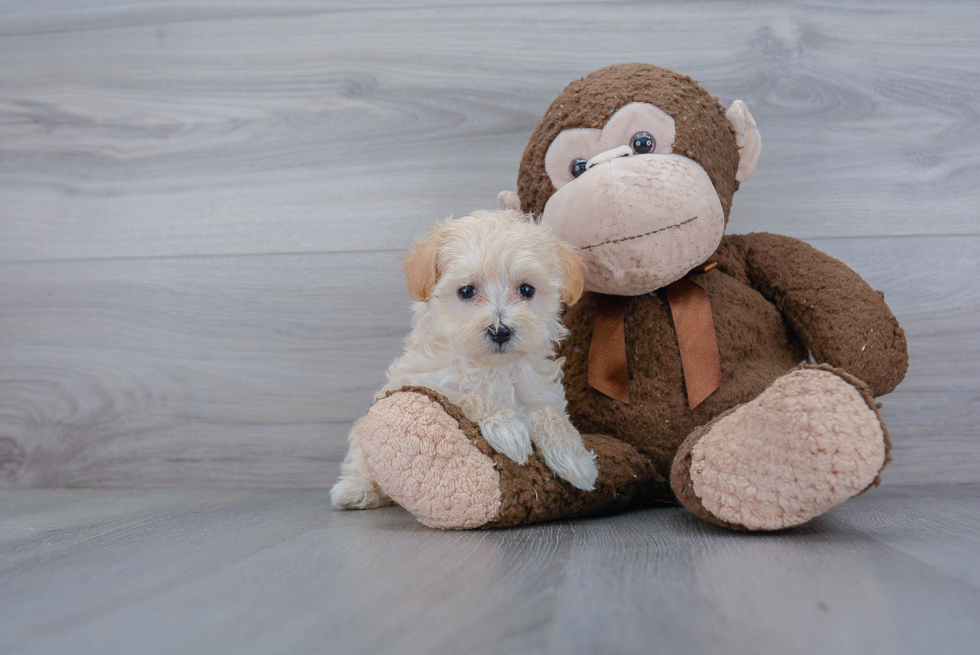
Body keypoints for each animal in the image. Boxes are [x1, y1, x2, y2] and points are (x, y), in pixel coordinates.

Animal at [334, 208, 596, 510]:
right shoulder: (425, 380)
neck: (492, 367)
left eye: (527, 290)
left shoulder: (540, 395)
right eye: (467, 291)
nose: (500, 331)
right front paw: (507, 429)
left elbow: (551, 416)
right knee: (361, 463)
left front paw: (575, 460)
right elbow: (468, 395)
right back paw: (355, 490)